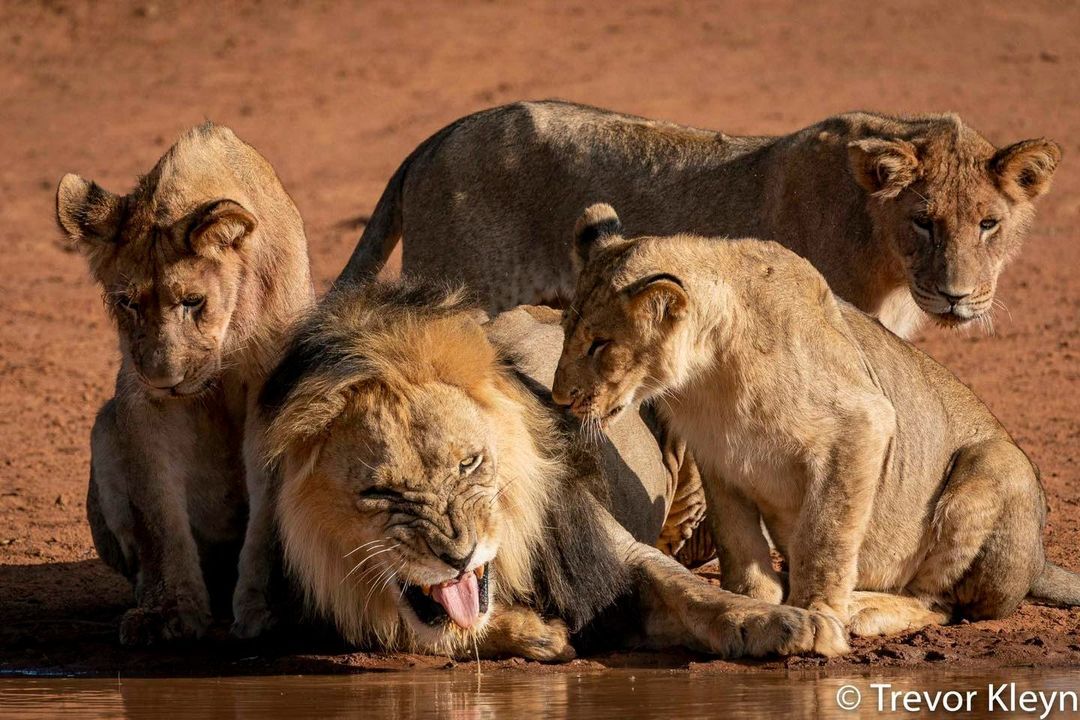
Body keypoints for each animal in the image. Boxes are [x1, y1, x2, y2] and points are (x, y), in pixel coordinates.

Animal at [56, 122, 313, 643]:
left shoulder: (274, 387)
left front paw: (270, 608)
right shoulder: (141, 403)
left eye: (193, 301)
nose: (164, 379)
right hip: (105, 425)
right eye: (127, 303)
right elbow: (159, 517)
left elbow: (268, 513)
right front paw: (168, 611)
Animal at [257, 280, 846, 660]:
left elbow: (694, 594)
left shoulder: (612, 553)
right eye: (381, 493)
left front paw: (788, 623)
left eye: (469, 463)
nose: (458, 556)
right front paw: (535, 634)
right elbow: (438, 629)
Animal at [552, 205, 1080, 639]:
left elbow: (826, 534)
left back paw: (864, 609)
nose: (559, 398)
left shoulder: (862, 423)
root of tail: (1039, 562)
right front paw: (758, 602)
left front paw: (818, 612)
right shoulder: (719, 457)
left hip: (993, 462)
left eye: (600, 344)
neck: (709, 377)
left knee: (940, 603)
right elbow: (739, 541)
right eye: (567, 332)